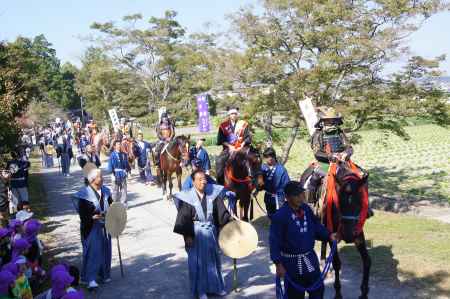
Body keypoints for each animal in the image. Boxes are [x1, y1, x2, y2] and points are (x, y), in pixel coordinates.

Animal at [300, 162, 370, 299]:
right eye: (340, 202)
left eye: (359, 201)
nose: (348, 236)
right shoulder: (333, 235)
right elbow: (337, 263)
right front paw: (338, 293)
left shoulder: (358, 234)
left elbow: (367, 261)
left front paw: (364, 292)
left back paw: (323, 263)